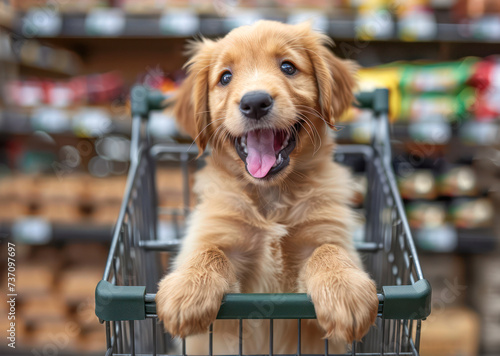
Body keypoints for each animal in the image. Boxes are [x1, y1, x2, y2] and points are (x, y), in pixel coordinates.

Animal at [156, 20, 378, 354]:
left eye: (288, 67)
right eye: (225, 77)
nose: (255, 102)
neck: (272, 197)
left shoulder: (325, 231)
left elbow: (329, 249)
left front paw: (345, 290)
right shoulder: (219, 233)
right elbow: (209, 251)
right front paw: (187, 289)